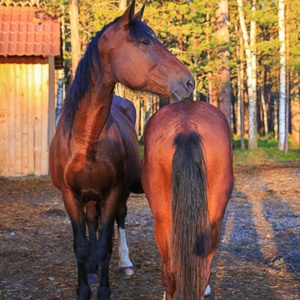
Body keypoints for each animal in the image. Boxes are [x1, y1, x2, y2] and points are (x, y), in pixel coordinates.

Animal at [48, 1, 195, 298]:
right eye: (145, 41)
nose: (189, 82)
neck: (86, 139)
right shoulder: (70, 196)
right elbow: (81, 245)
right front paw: (84, 286)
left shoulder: (114, 191)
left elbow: (106, 242)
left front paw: (103, 289)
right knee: (92, 221)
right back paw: (92, 269)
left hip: (120, 193)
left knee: (120, 219)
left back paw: (124, 264)